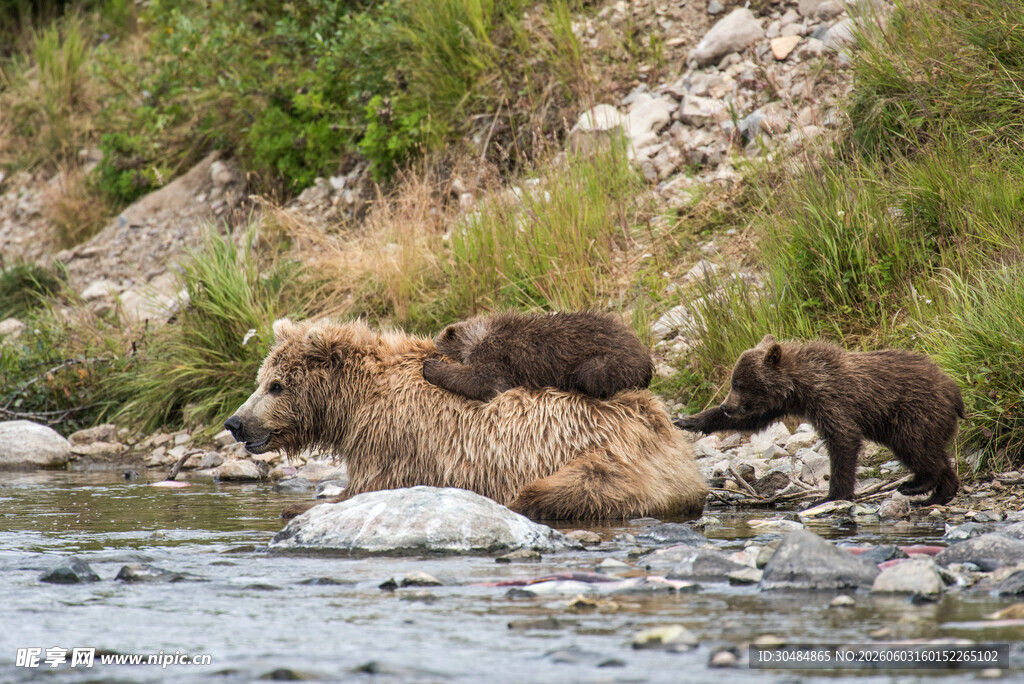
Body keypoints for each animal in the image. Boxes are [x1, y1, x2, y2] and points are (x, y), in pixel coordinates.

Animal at [421, 311, 654, 402]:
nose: (431, 350)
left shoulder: (498, 356)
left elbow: (486, 381)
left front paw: (431, 367)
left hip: (603, 362)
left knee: (594, 374)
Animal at [674, 335, 963, 506]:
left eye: (739, 384)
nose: (726, 406)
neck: (800, 387)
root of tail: (953, 389)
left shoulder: (831, 399)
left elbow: (843, 438)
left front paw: (831, 495)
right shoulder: (781, 404)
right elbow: (752, 420)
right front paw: (687, 421)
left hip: (913, 411)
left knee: (913, 446)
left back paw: (917, 485)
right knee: (931, 451)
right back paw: (939, 494)